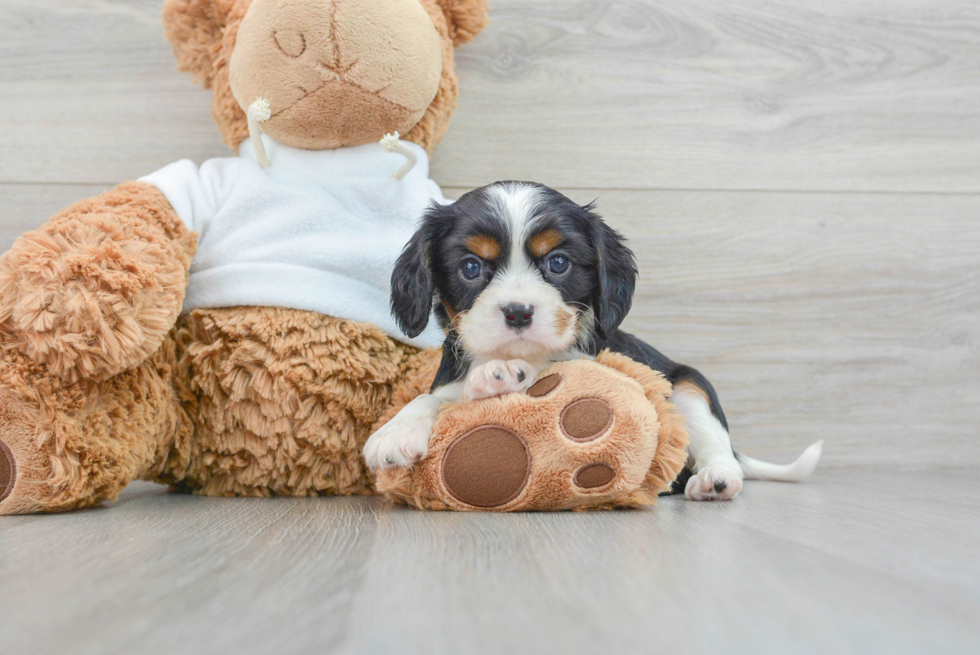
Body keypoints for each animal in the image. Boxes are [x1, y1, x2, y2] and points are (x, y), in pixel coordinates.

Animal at [364, 182, 824, 500]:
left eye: (558, 262)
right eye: (471, 267)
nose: (518, 312)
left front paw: (504, 373)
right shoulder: (450, 378)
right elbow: (435, 397)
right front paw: (396, 430)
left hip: (688, 386)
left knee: (717, 445)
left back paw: (714, 479)